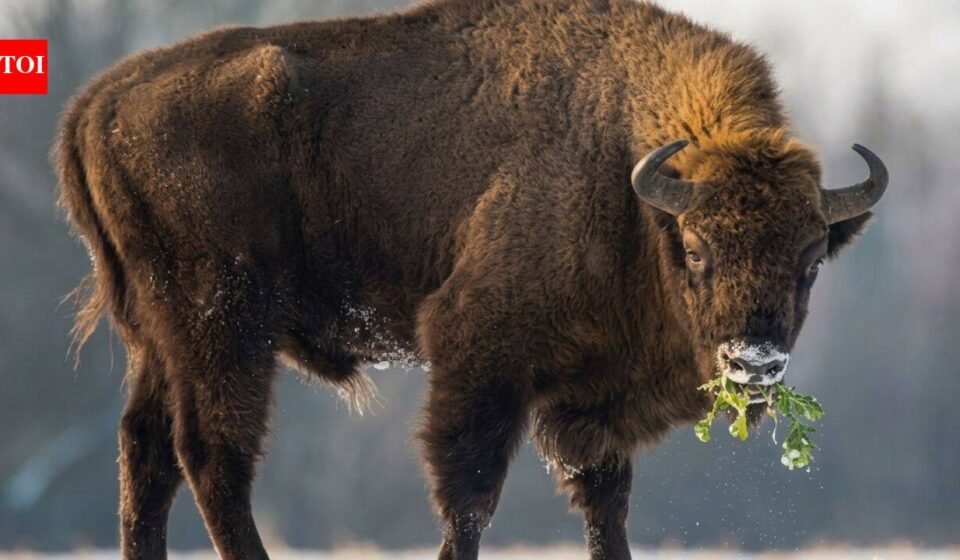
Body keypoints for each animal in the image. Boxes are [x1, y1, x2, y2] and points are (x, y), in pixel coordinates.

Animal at [54, 0, 887, 558]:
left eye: (812, 258)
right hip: (224, 326)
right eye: (697, 247)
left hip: (160, 339)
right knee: (213, 453)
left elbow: (605, 502)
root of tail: (97, 103)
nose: (755, 362)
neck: (627, 179)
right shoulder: (480, 356)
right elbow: (470, 491)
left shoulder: (591, 402)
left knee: (146, 451)